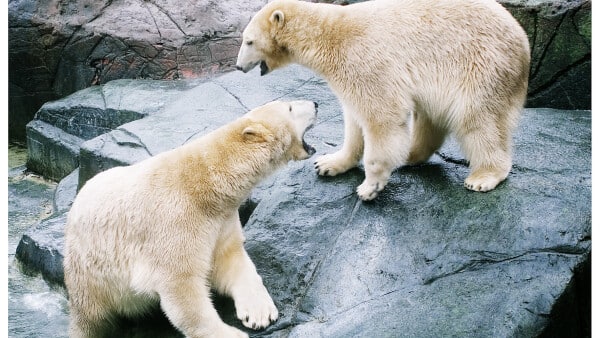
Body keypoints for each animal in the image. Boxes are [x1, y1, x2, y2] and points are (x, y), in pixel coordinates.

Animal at [62, 100, 318, 338]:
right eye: (290, 107)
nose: (316, 103)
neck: (207, 183)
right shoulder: (175, 220)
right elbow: (181, 286)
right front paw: (232, 333)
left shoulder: (221, 220)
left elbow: (229, 260)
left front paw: (259, 312)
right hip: (90, 272)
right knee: (91, 318)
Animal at [237, 0, 532, 201]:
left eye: (249, 41)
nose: (239, 66)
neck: (329, 34)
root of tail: (523, 41)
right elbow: (354, 121)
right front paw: (328, 163)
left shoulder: (365, 61)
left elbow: (380, 117)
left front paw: (370, 187)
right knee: (430, 115)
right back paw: (411, 154)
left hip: (482, 67)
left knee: (479, 120)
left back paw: (483, 177)